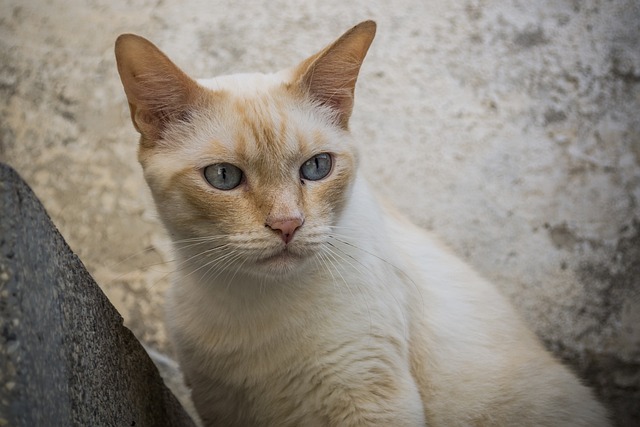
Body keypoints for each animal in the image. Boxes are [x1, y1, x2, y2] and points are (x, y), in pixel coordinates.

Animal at [115, 20, 608, 427]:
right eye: (223, 177)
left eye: (316, 167)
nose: (288, 225)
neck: (259, 308)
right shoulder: (220, 406)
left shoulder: (366, 397)